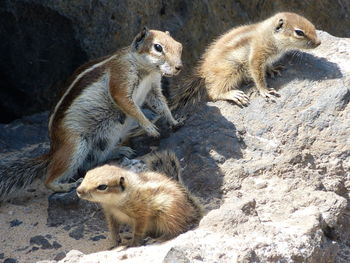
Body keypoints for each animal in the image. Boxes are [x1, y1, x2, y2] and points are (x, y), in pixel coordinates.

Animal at [0, 27, 183, 201]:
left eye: (179, 46)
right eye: (157, 47)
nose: (179, 67)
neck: (147, 70)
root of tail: (53, 150)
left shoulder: (153, 87)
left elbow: (161, 105)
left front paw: (174, 121)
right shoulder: (120, 76)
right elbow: (127, 103)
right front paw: (149, 127)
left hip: (108, 136)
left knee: (94, 160)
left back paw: (119, 151)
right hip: (74, 145)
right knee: (49, 178)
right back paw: (66, 185)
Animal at [171, 11, 322, 109]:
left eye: (312, 25)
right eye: (299, 32)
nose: (319, 42)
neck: (270, 35)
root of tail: (202, 72)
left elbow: (266, 66)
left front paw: (272, 69)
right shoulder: (257, 54)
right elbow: (257, 74)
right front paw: (264, 91)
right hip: (230, 69)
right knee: (213, 93)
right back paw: (233, 94)